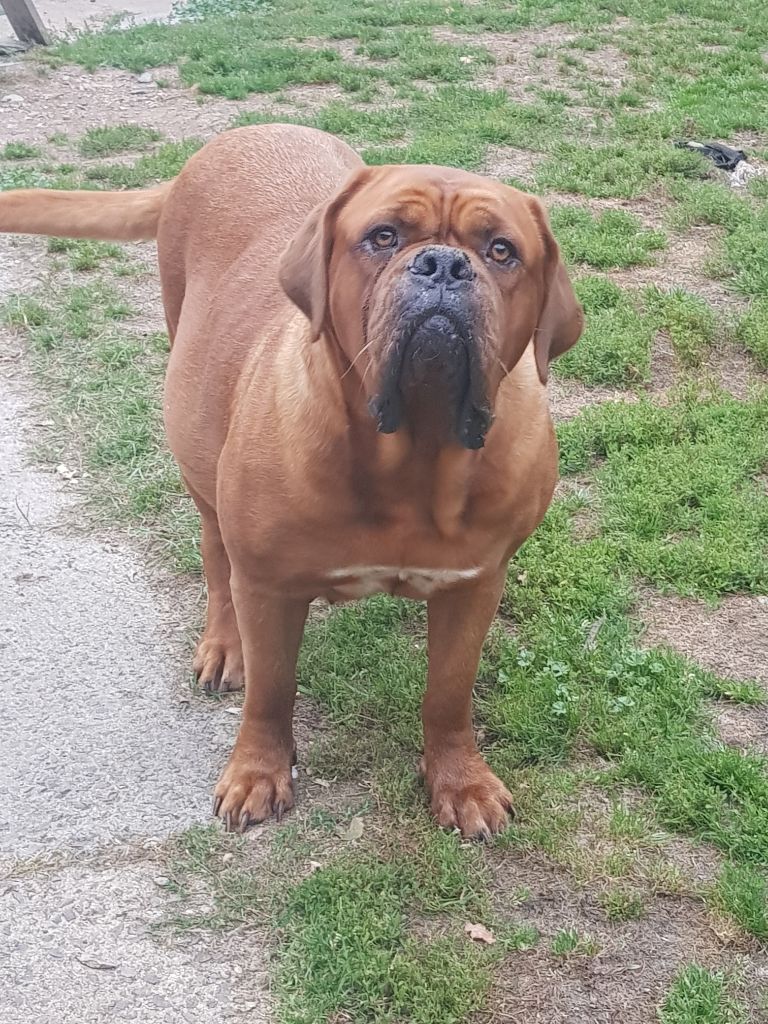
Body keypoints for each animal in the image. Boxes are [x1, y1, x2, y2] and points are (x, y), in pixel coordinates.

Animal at [0, 124, 583, 838]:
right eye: (384, 237)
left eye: (502, 250)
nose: (444, 265)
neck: (413, 457)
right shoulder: (269, 586)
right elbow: (271, 690)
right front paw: (257, 772)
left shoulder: (474, 584)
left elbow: (448, 693)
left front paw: (459, 781)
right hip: (200, 453)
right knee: (215, 555)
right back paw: (224, 646)